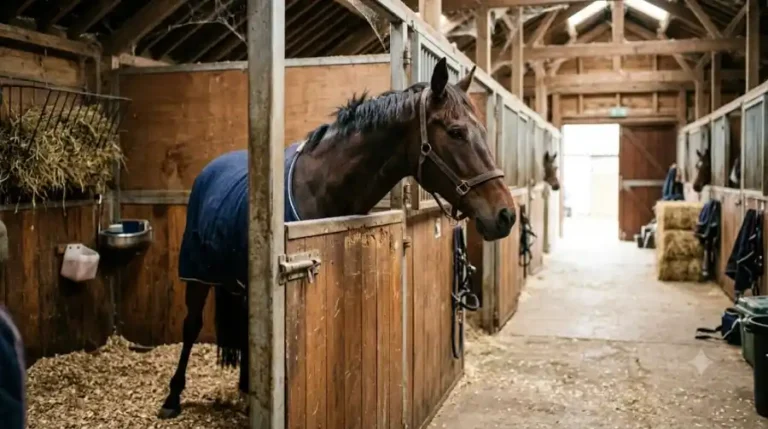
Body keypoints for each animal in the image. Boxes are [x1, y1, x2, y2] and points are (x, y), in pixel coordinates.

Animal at [158, 58, 517, 419]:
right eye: (456, 132)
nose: (506, 215)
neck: (319, 187)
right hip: (196, 276)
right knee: (191, 325)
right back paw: (173, 398)